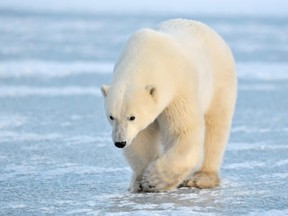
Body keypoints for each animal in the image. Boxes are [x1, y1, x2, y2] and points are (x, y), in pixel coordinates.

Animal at [100, 19, 236, 192]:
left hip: (219, 83)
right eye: (111, 116)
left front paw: (153, 179)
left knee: (215, 127)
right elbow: (140, 138)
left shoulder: (178, 89)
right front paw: (140, 181)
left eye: (132, 117)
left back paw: (201, 178)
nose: (120, 142)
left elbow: (183, 132)